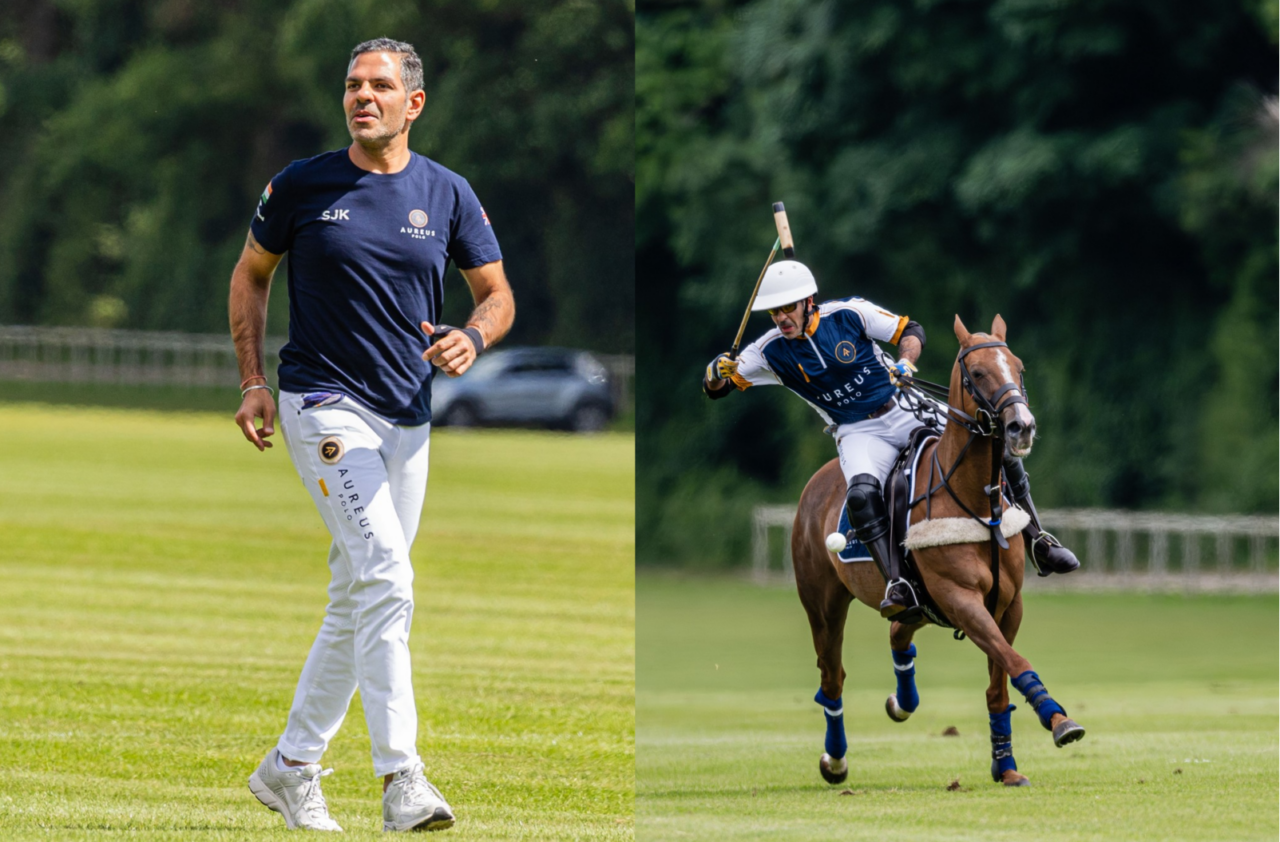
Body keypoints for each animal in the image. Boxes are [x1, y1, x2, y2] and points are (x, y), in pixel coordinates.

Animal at [791, 314, 1085, 788]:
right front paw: (1058, 719)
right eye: (977, 373)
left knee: (898, 629)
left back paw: (900, 701)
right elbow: (1014, 659)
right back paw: (834, 761)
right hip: (823, 602)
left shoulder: (1008, 604)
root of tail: (818, 482)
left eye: (1018, 367)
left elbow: (998, 685)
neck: (976, 501)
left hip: (921, 607)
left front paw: (1006, 765)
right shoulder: (960, 598)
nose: (1021, 426)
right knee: (832, 678)